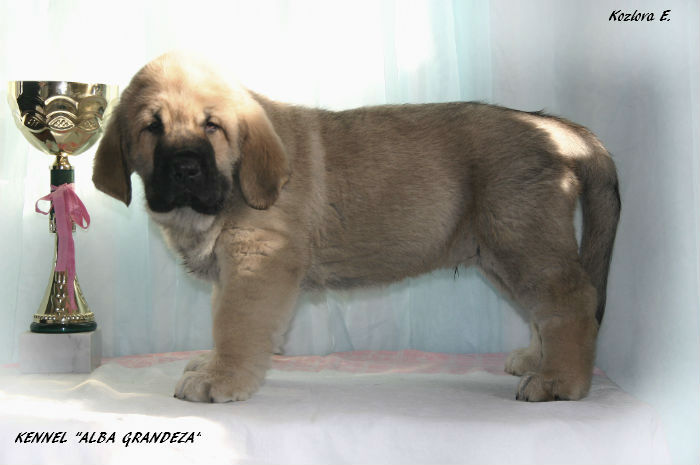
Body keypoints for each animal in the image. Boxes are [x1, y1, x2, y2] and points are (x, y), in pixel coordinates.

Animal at [93, 52, 620, 403]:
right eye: (152, 127)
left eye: (212, 127)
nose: (184, 169)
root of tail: (552, 128)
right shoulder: (233, 267)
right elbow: (224, 319)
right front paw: (215, 365)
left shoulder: (255, 260)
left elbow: (236, 324)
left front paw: (221, 379)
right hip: (504, 249)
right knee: (546, 310)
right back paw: (540, 360)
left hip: (520, 239)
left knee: (572, 301)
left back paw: (561, 381)